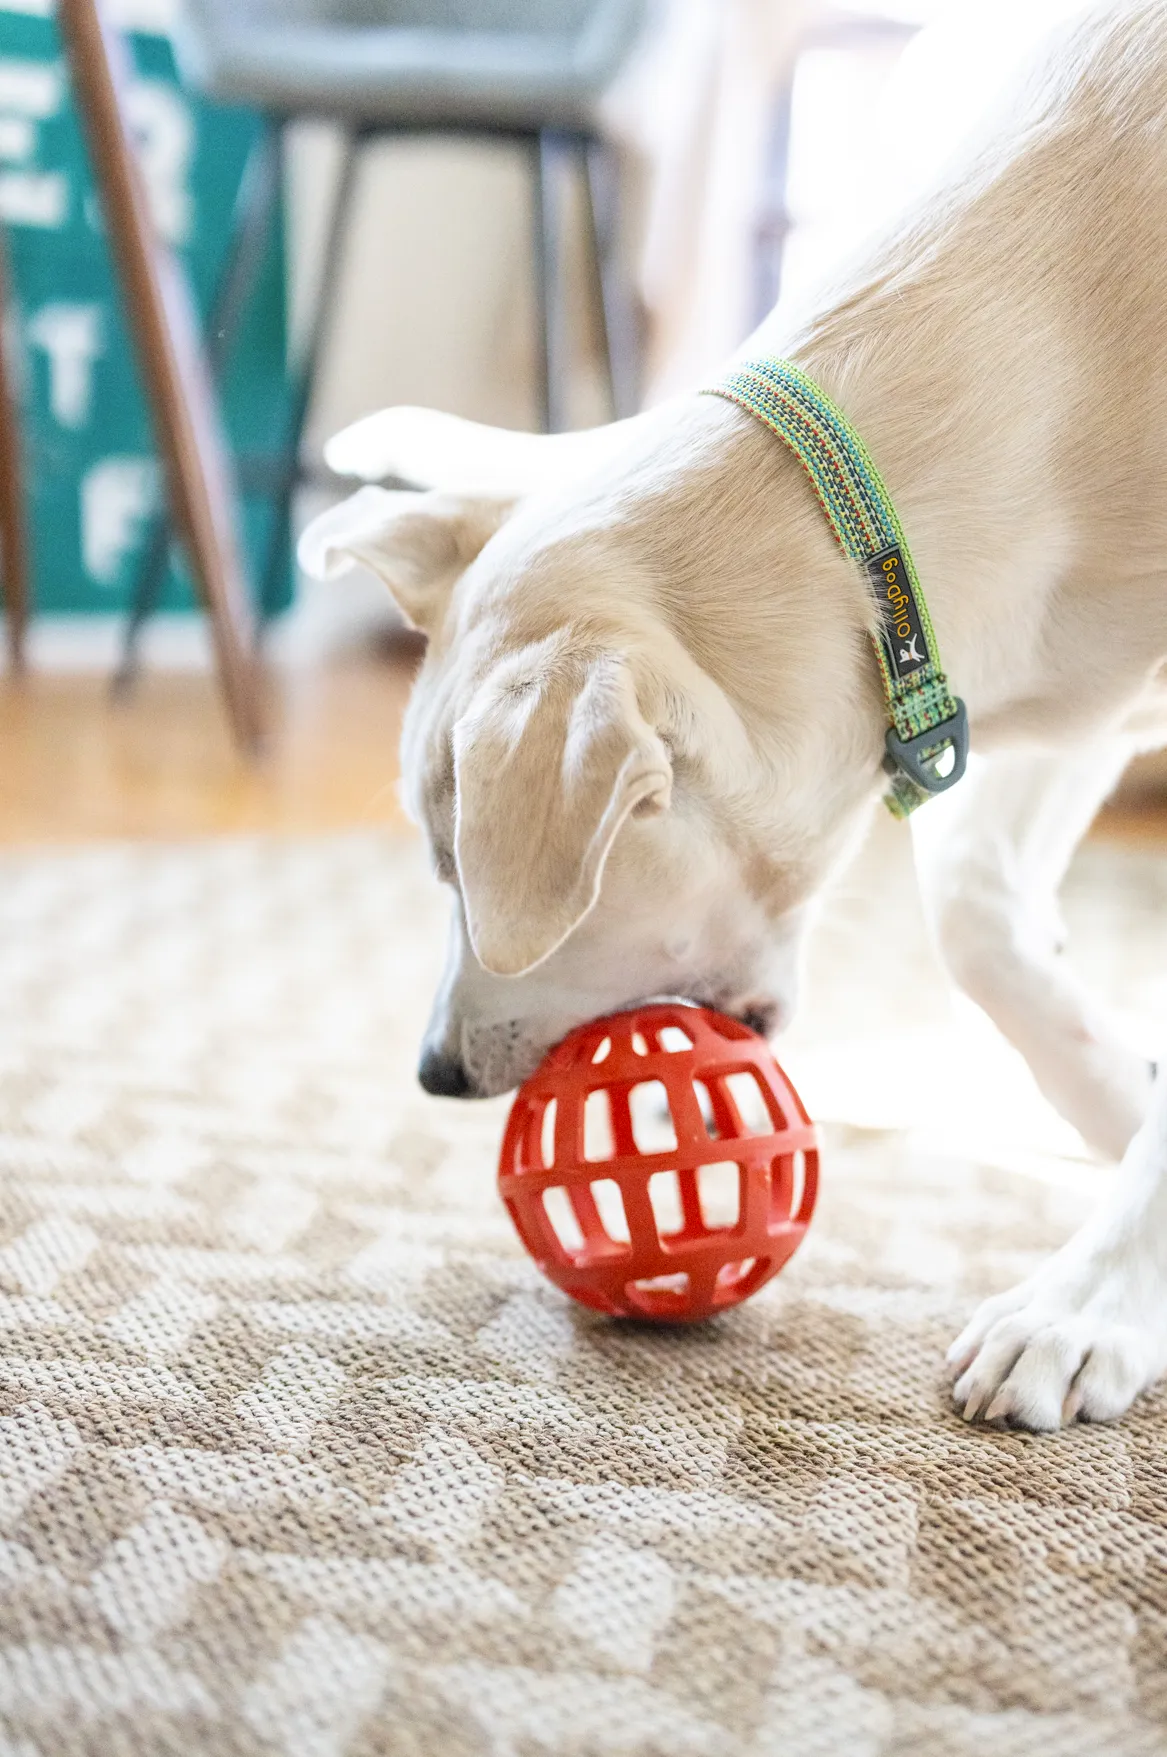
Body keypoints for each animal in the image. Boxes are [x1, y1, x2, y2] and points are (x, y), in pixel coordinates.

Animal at [297, 0, 1167, 1426]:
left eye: (463, 867)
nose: (435, 1072)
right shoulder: (1046, 677)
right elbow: (977, 920)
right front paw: (1117, 1099)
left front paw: (1088, 1300)